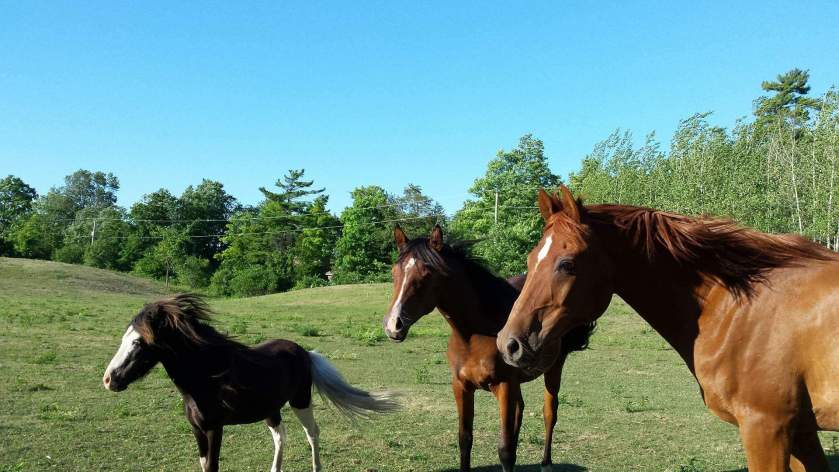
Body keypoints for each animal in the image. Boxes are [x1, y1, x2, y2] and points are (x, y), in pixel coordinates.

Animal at [102, 293, 398, 472]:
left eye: (138, 342)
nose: (108, 380)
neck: (206, 380)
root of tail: (304, 352)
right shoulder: (197, 430)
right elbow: (203, 464)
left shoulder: (214, 428)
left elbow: (212, 465)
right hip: (272, 410)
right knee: (281, 436)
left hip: (301, 401)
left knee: (312, 433)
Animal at [383, 224, 595, 471]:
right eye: (394, 272)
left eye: (427, 274)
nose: (393, 325)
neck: (473, 337)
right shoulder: (461, 386)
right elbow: (465, 440)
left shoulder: (504, 386)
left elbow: (505, 450)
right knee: (520, 410)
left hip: (554, 368)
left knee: (549, 412)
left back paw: (546, 463)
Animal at [496, 186, 839, 471]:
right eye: (530, 260)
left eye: (566, 264)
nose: (508, 343)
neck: (737, 308)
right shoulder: (802, 432)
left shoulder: (767, 428)